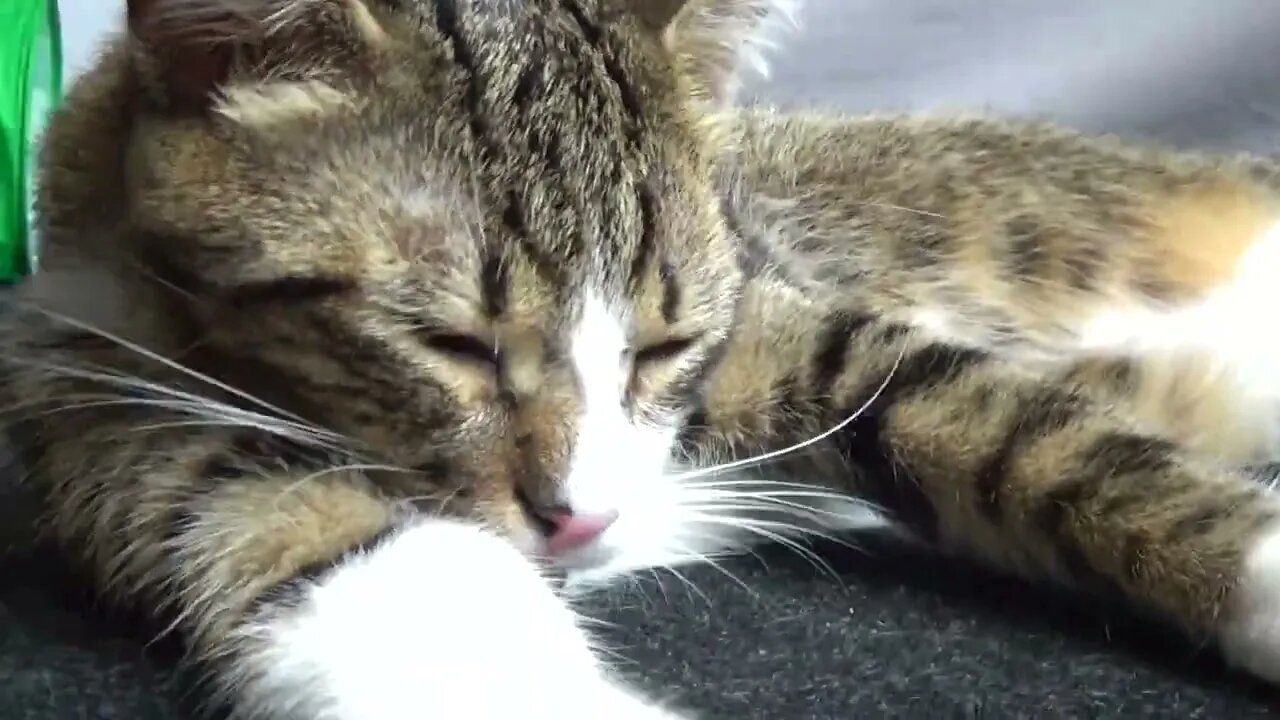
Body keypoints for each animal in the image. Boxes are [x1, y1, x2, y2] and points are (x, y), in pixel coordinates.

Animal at [7, 0, 1280, 712]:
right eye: (448, 343)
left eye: (665, 343)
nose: (581, 521)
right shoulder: (100, 391)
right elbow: (312, 538)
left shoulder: (773, 316)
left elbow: (985, 410)